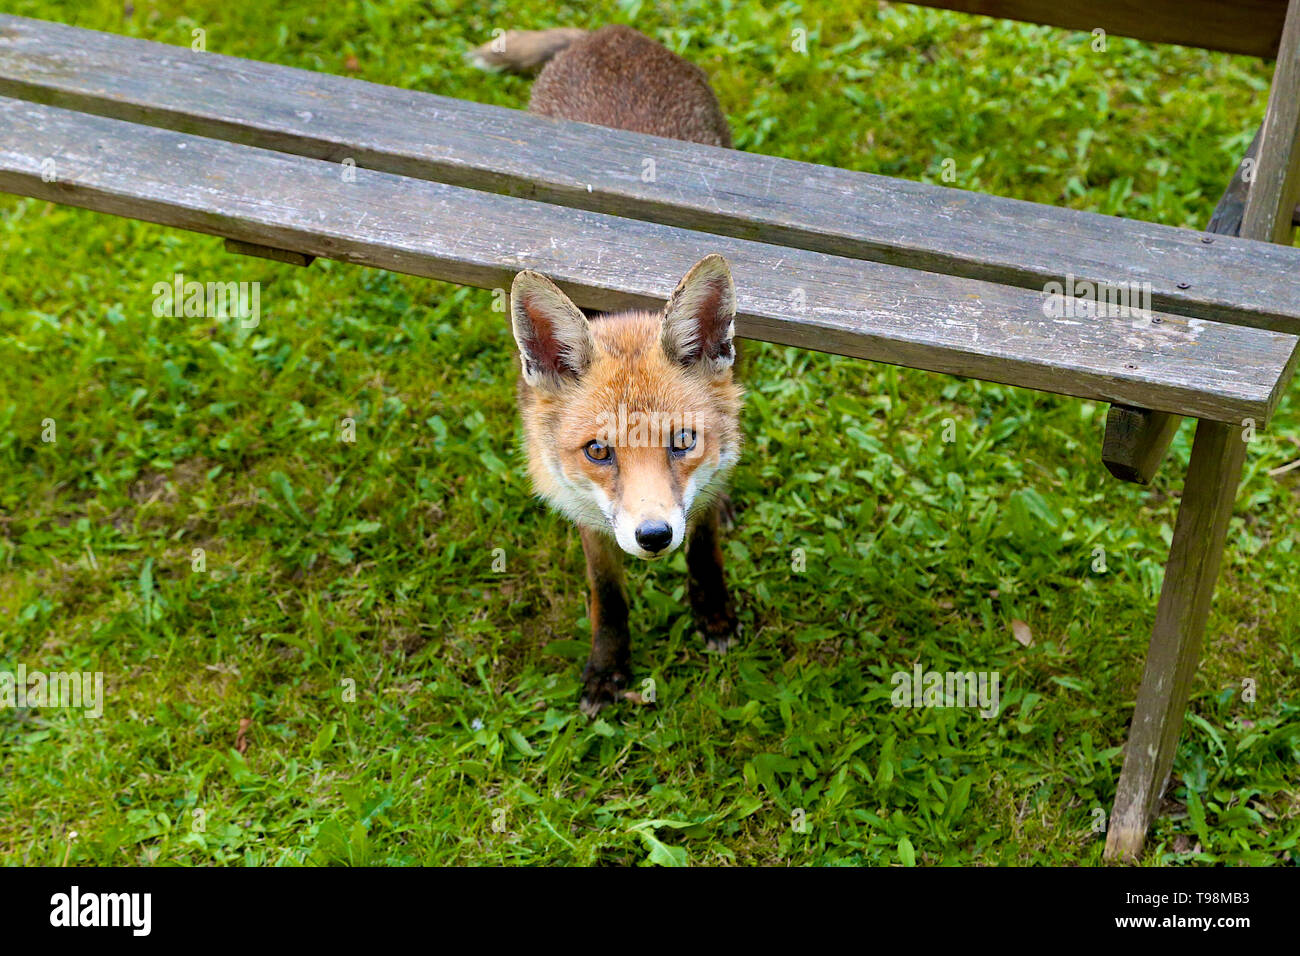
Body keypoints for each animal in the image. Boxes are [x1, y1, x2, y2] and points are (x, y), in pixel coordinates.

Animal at [470, 25, 741, 713]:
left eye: (683, 441)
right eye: (598, 451)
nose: (654, 537)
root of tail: (612, 32)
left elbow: (705, 542)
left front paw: (714, 611)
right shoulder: (580, 504)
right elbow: (606, 593)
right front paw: (608, 667)